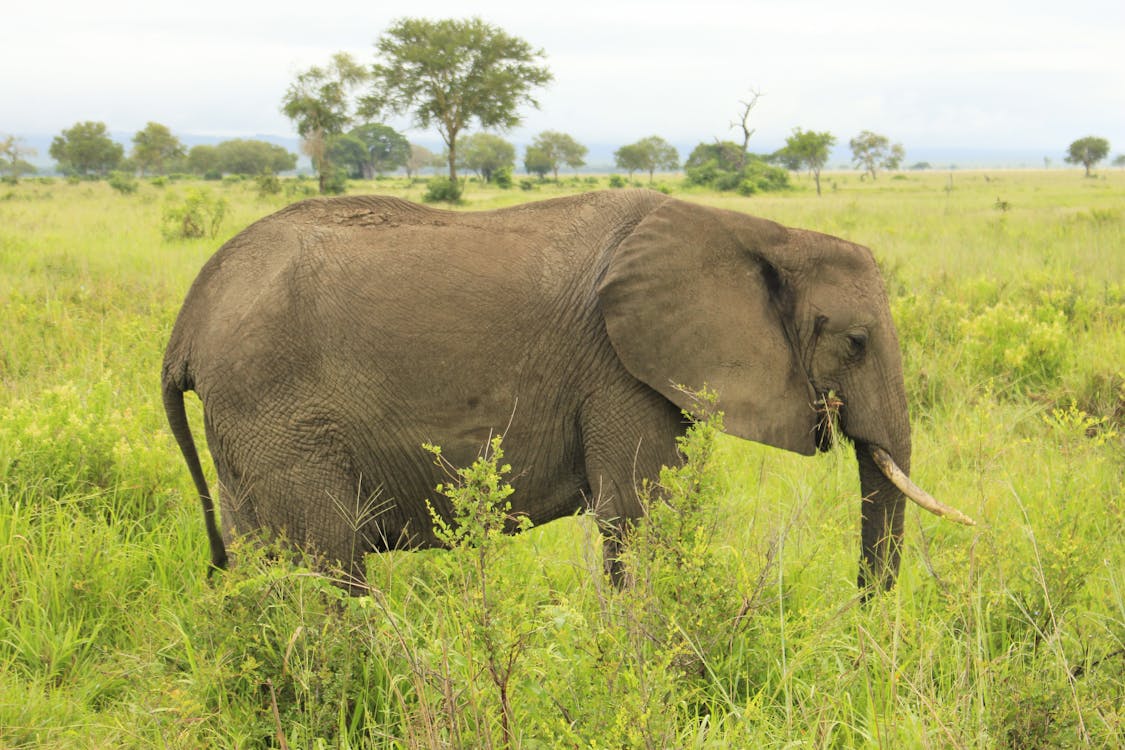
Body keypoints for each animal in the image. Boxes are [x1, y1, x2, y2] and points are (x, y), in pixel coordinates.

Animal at [163, 192, 972, 598]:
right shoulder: (615, 367)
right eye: (855, 342)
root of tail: (187, 323)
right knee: (325, 562)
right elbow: (640, 518)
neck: (756, 230)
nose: (858, 611)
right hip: (276, 409)